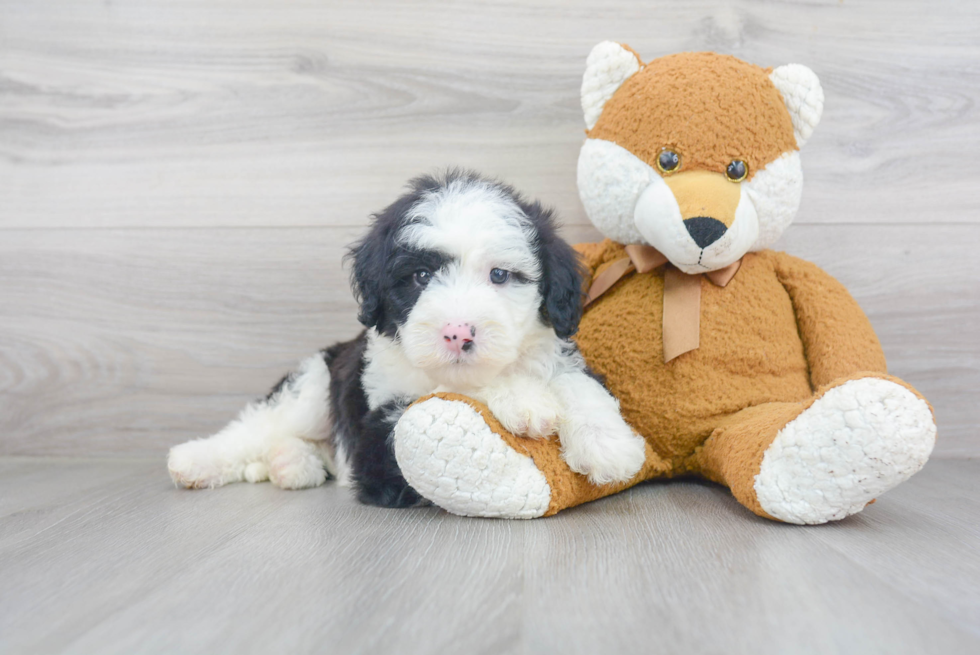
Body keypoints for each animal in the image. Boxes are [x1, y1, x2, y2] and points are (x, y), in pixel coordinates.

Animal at [168, 169, 648, 508]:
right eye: (419, 276)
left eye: (499, 275)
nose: (457, 333)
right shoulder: (382, 425)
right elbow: (452, 387)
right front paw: (523, 399)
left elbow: (574, 380)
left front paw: (609, 444)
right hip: (312, 387)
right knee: (256, 427)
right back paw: (196, 460)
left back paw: (292, 465)